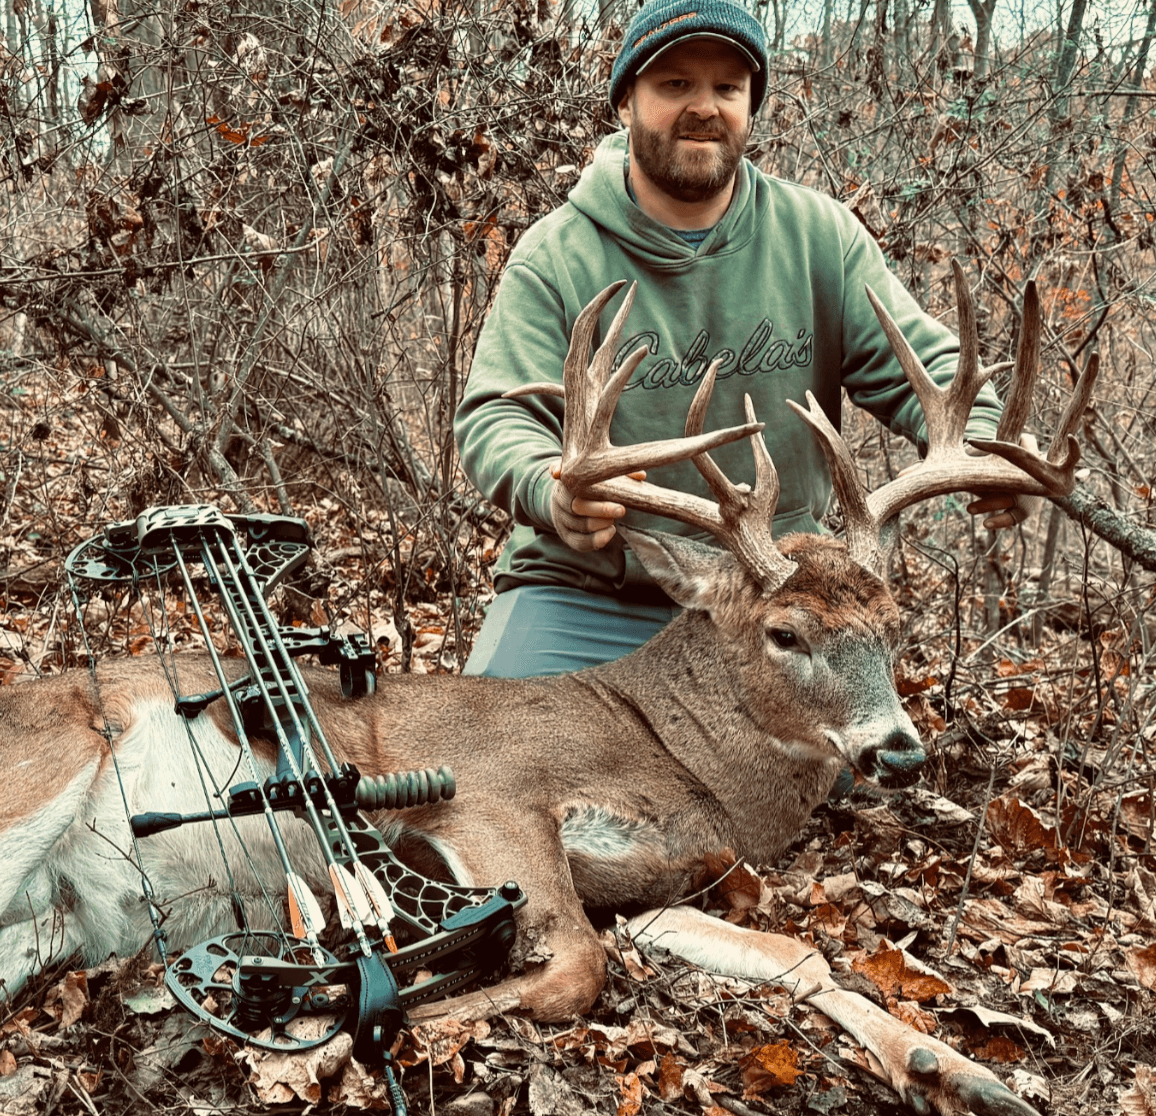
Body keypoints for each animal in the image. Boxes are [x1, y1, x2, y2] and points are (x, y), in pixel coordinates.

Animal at [0, 262, 1090, 1116]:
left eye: (895, 626)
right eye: (786, 633)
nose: (897, 749)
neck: (673, 751)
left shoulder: (657, 889)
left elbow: (798, 957)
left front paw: (961, 1073)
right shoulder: (490, 791)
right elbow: (571, 966)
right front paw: (359, 1035)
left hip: (55, 920)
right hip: (43, 767)